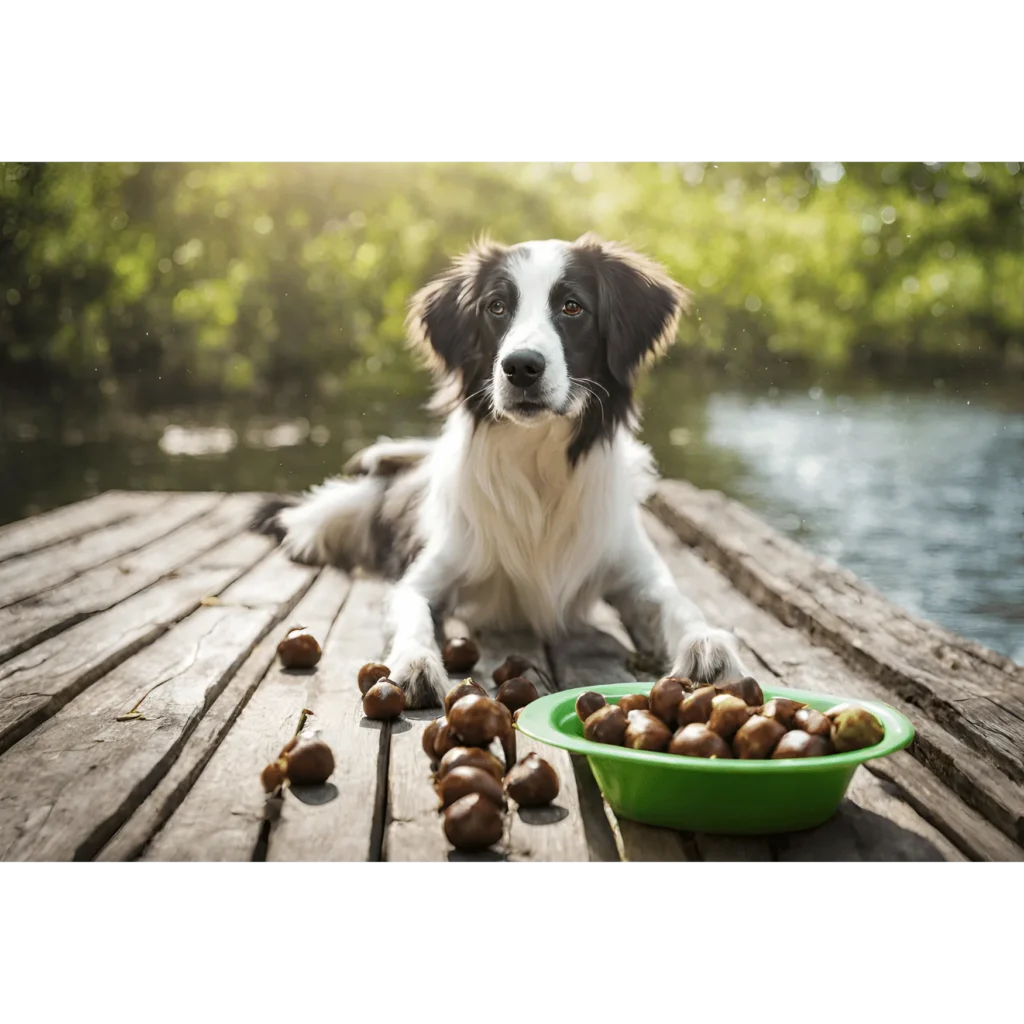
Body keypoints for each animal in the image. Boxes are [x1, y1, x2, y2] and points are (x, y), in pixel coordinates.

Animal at [247, 234, 745, 708]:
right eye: (497, 307)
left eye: (572, 306)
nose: (521, 366)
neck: (537, 461)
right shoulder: (421, 578)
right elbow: (413, 613)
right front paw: (415, 663)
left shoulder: (637, 575)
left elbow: (678, 603)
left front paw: (708, 644)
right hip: (337, 515)